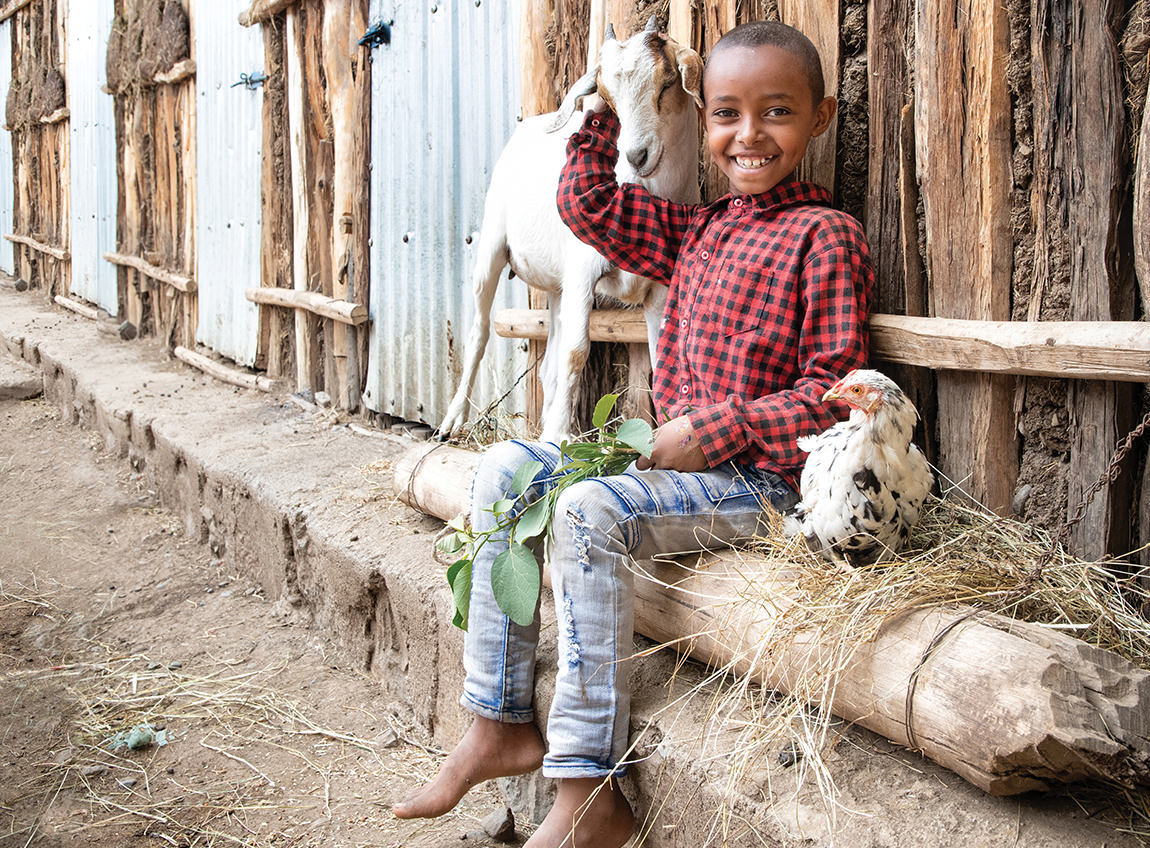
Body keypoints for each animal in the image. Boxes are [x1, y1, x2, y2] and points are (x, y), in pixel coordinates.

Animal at [437, 18, 699, 444]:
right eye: (607, 97)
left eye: (666, 82)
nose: (636, 156)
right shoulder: (582, 272)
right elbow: (577, 352)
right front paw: (557, 438)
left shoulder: (660, 288)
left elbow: (660, 356)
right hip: (492, 244)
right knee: (479, 334)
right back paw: (452, 422)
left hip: (558, 290)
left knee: (550, 363)